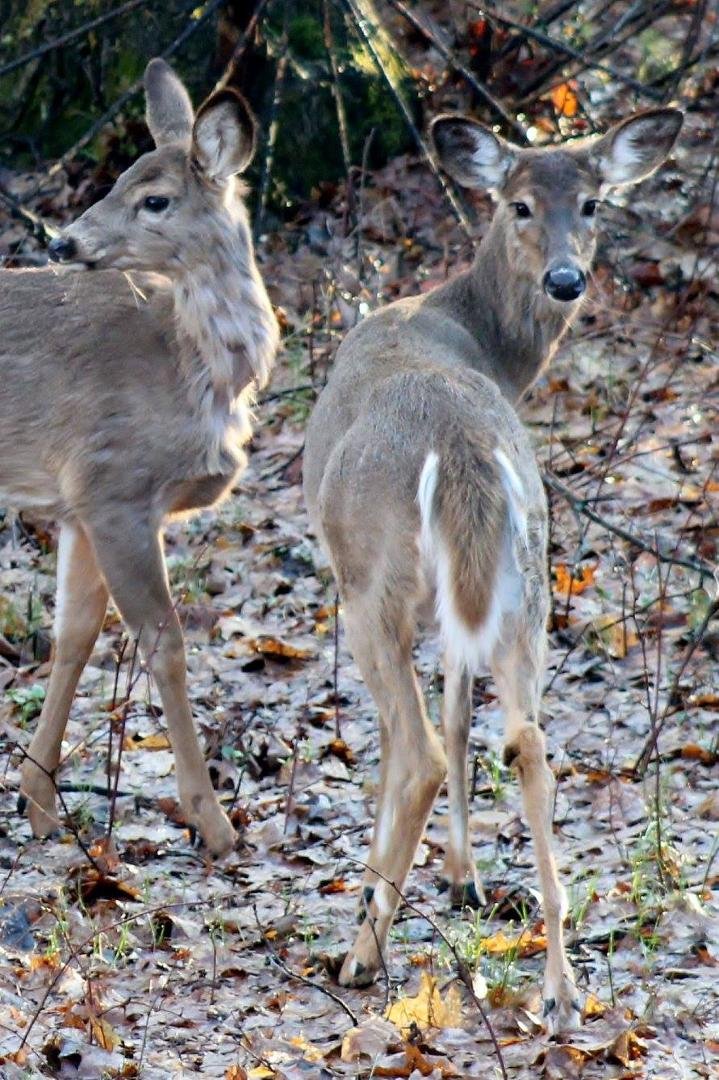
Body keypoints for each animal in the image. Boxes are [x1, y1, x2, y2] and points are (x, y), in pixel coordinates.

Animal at [3, 59, 279, 856]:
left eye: (153, 197)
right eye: (117, 180)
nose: (62, 243)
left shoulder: (79, 503)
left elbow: (73, 635)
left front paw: (37, 801)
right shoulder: (114, 485)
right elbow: (166, 644)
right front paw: (213, 822)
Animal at [303, 107, 682, 1030]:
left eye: (591, 202)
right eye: (519, 204)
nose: (565, 279)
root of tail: (464, 450)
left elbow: (420, 730)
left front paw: (435, 881)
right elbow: (459, 708)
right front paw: (464, 879)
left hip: (372, 580)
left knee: (415, 751)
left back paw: (360, 954)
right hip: (527, 578)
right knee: (528, 741)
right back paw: (560, 986)